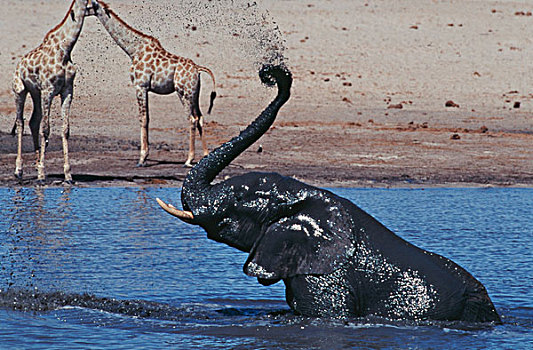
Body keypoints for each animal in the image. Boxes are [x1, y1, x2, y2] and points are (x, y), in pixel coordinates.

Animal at [11, 0, 91, 185]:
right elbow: (46, 129)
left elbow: (65, 130)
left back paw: (36, 164)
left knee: (33, 121)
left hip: (36, 93)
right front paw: (42, 174)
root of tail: (19, 64)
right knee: (20, 123)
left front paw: (68, 175)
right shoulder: (48, 90)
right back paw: (19, 170)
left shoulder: (67, 90)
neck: (65, 50)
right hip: (20, 90)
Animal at [89, 0, 216, 167]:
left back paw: (189, 159)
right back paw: (206, 155)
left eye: (88, 5)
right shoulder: (145, 88)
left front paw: (142, 158)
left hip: (184, 93)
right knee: (199, 117)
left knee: (192, 119)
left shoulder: (140, 86)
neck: (133, 50)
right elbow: (147, 118)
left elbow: (143, 119)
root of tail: (197, 69)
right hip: (194, 93)